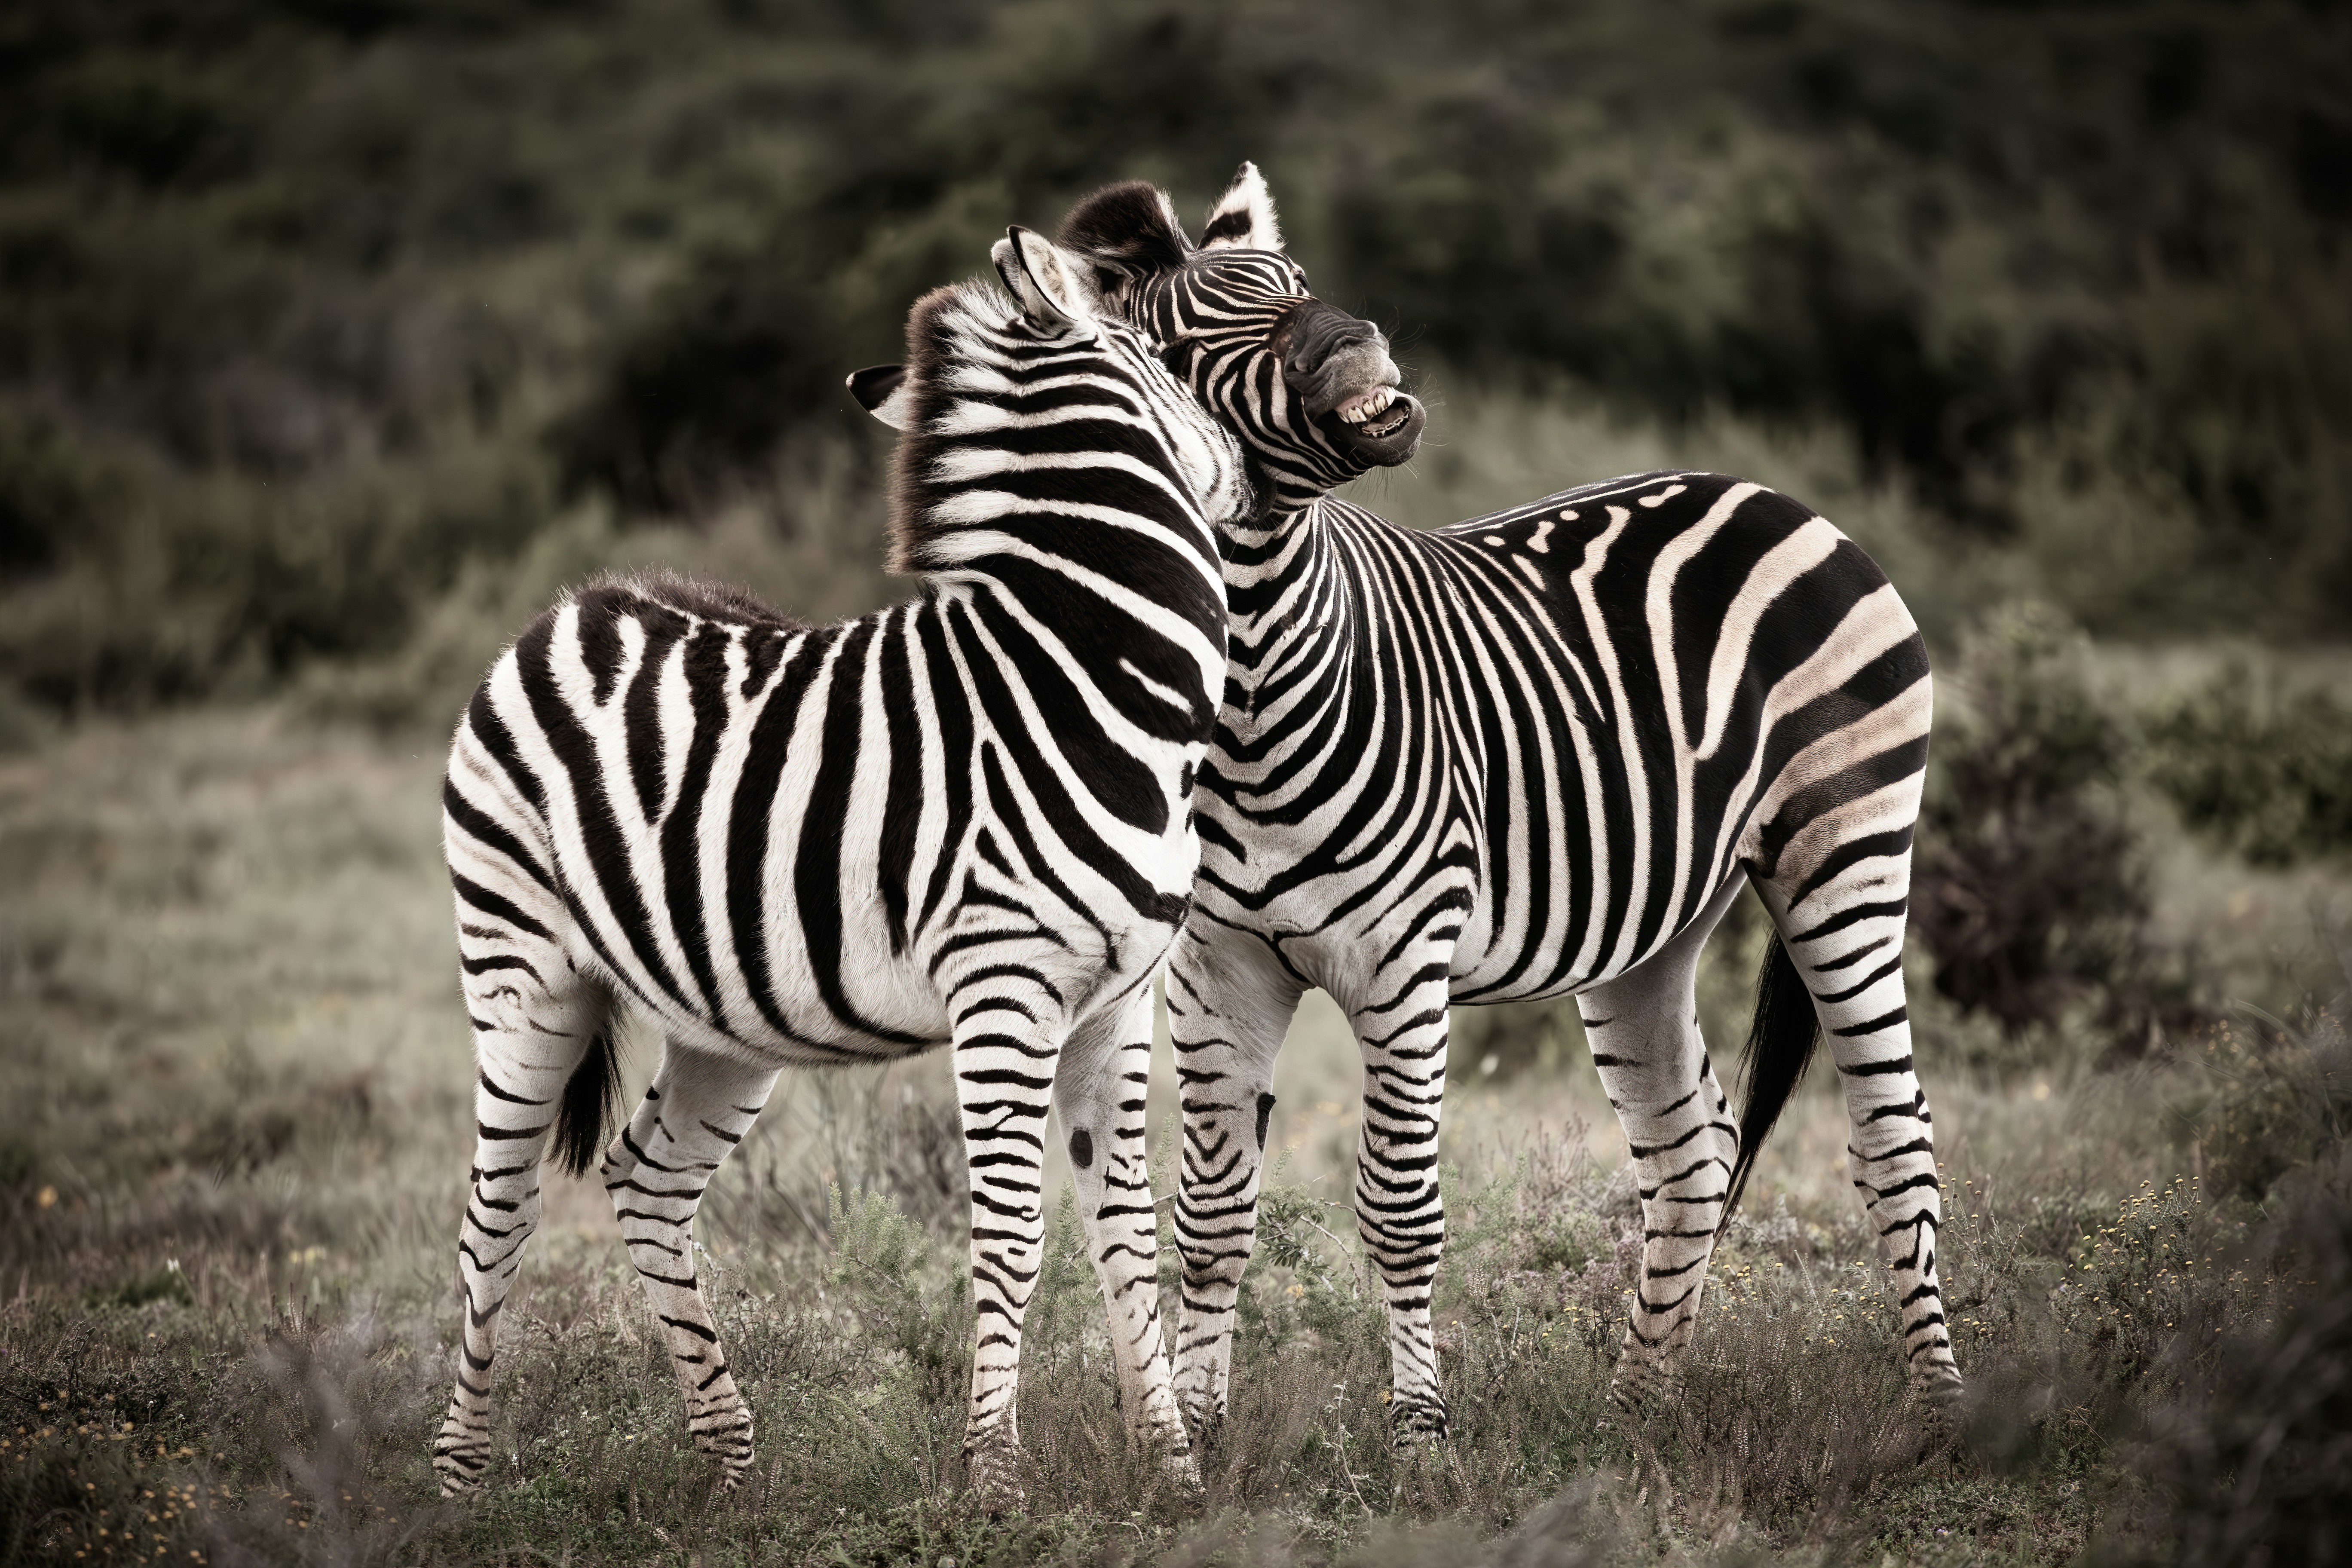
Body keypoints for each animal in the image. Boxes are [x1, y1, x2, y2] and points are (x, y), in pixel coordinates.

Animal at [432, 225, 1244, 1500]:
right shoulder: (1004, 991)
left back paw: (734, 1463)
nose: (1253, 478)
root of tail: (576, 602)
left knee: (643, 1180)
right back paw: (459, 1479)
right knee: (494, 1219)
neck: (1093, 681)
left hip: (722, 1018)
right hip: (520, 976)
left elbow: (1125, 1230)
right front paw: (994, 1479)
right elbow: (1012, 1235)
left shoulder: (1118, 1000)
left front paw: (1170, 1472)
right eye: (1167, 360)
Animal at [1041, 165, 1966, 1443]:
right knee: (1691, 1150)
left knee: (1890, 1131)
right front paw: (1208, 1435)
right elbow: (1212, 1213)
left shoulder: (1402, 959)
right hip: (1654, 923)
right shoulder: (1218, 966)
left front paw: (1420, 1440)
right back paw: (1633, 1414)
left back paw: (1938, 1417)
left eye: (1295, 281)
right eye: (1181, 350)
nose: (1351, 341)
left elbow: (1398, 1209)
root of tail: (1776, 496)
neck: (1251, 696)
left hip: (1847, 851)